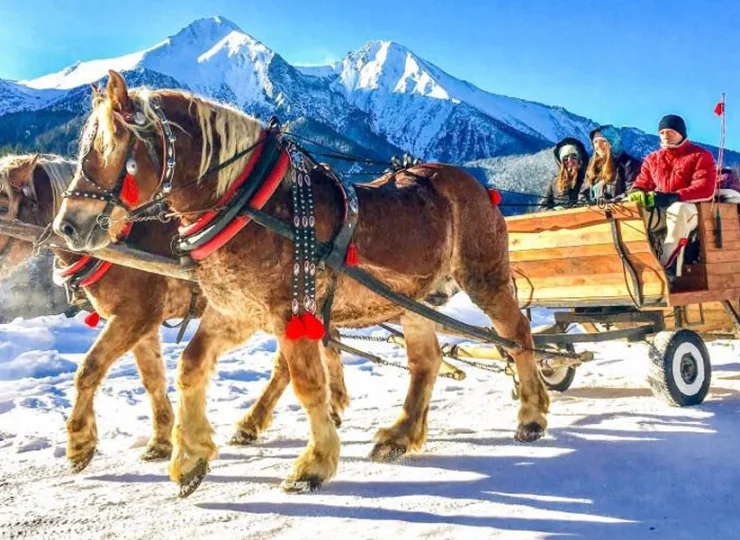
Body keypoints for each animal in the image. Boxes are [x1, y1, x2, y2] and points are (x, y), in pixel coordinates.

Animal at [0, 152, 348, 472]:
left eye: (3, 205)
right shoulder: (142, 323)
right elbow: (152, 378)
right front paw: (160, 441)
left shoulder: (135, 315)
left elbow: (89, 369)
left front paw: (79, 446)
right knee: (324, 343)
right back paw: (329, 404)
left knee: (290, 363)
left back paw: (260, 421)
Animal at [53, 69, 548, 496]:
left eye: (110, 148)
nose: (68, 226)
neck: (250, 204)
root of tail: (478, 186)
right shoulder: (235, 310)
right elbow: (190, 367)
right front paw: (190, 458)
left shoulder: (287, 311)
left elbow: (308, 384)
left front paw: (314, 463)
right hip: (415, 299)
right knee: (426, 362)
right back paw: (401, 435)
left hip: (484, 276)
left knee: (518, 334)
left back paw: (532, 415)